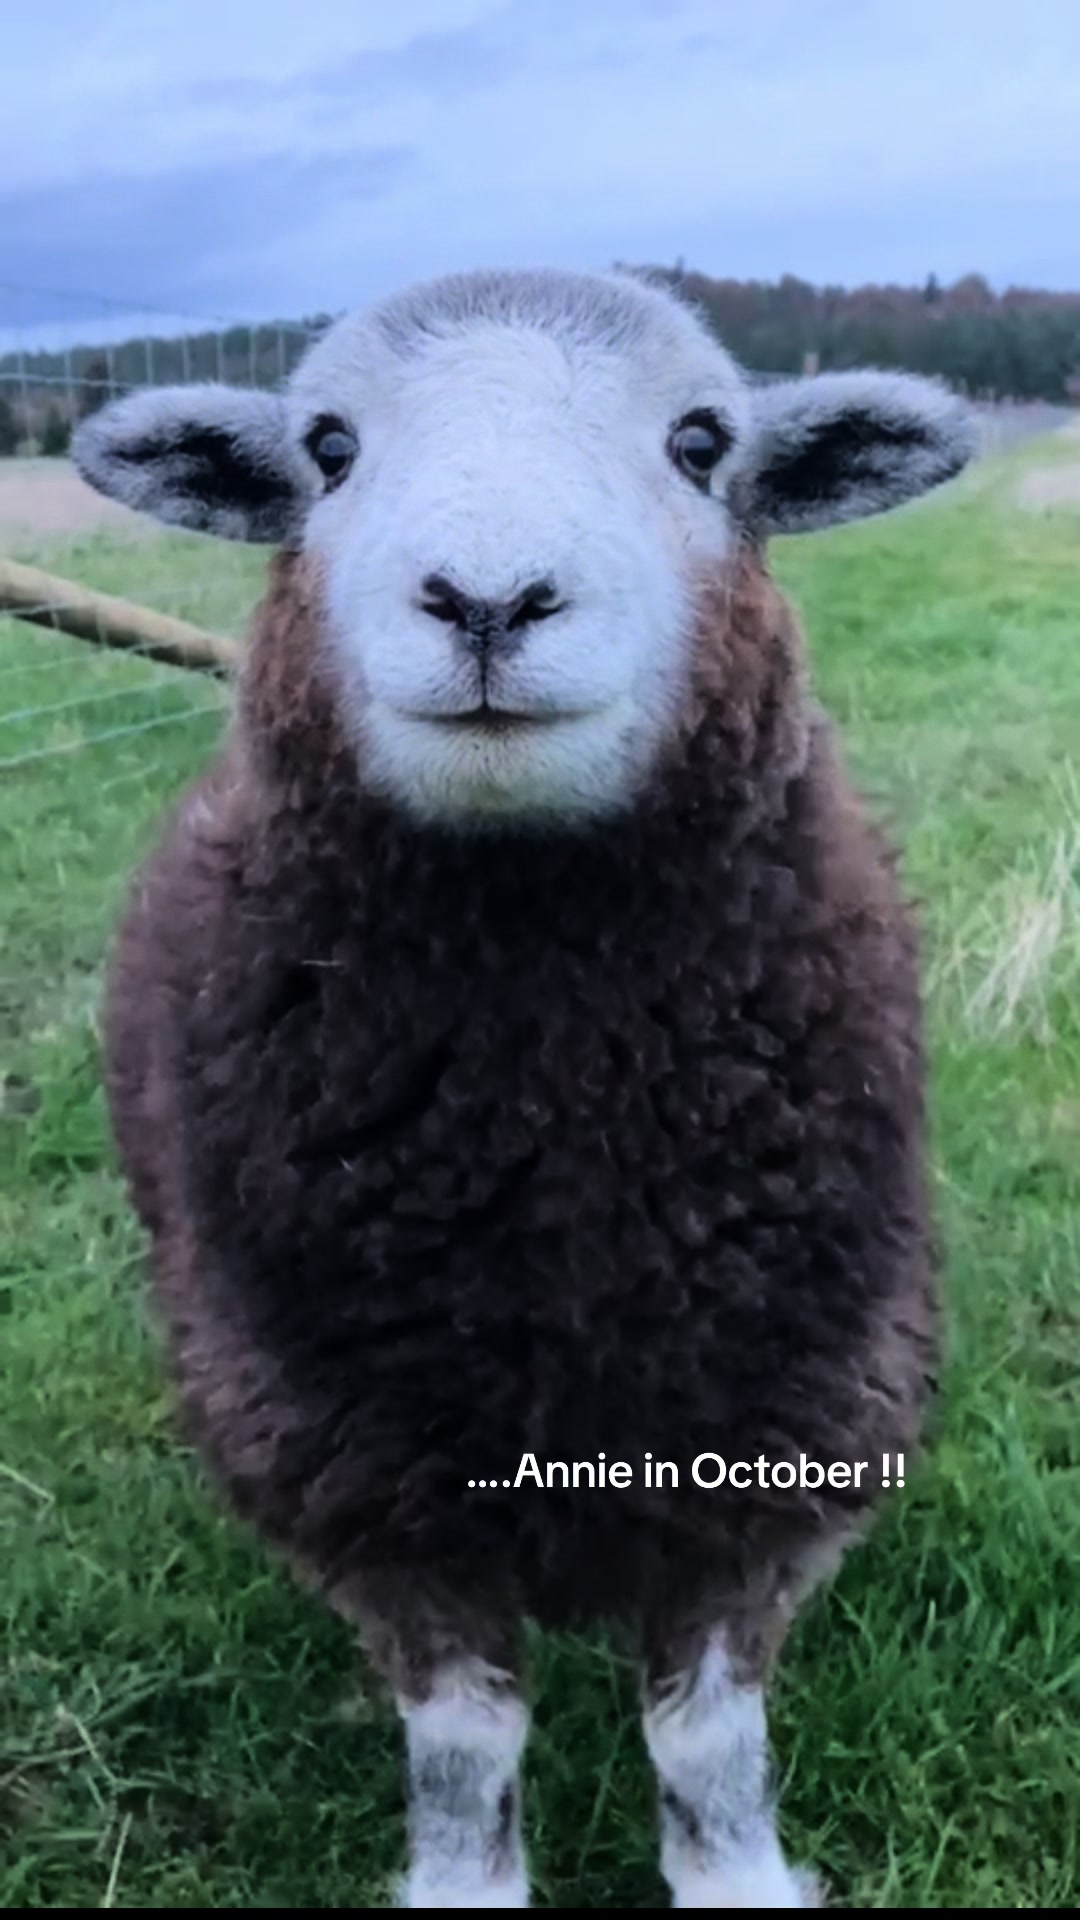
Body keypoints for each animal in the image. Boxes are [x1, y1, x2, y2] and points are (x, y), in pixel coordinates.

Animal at [73, 267, 977, 1910]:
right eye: (328, 447)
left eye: (701, 442)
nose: (488, 602)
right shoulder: (352, 1446)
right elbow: (464, 1747)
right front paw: (466, 1883)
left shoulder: (785, 1408)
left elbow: (706, 1742)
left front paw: (738, 1880)